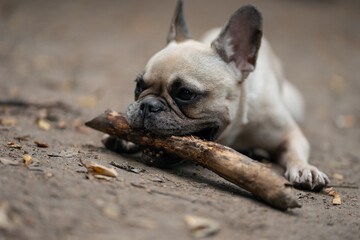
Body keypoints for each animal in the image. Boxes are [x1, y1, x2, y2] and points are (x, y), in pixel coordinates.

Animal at [103, 0, 330, 190]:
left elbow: (295, 151)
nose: (148, 105)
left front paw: (305, 168)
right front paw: (124, 139)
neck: (233, 132)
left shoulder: (289, 134)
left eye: (185, 93)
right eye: (138, 86)